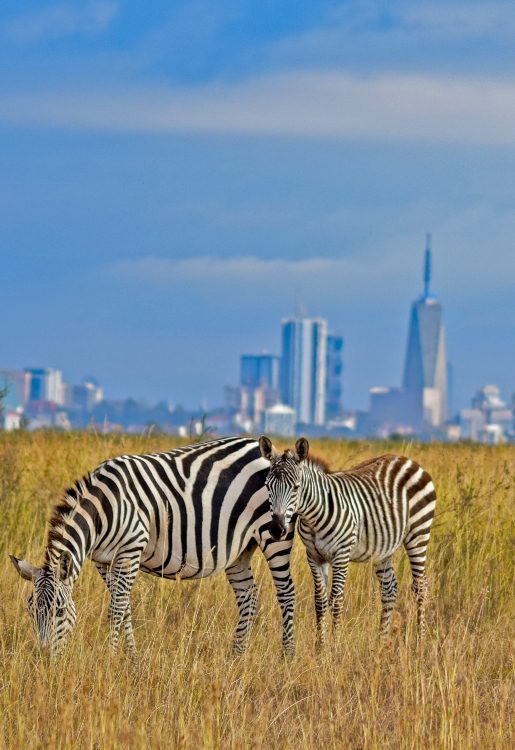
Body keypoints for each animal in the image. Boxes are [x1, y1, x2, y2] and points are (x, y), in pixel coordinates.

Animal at [10, 436, 296, 657]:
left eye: (59, 611)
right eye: (30, 611)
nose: (45, 659)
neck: (103, 509)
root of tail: (260, 448)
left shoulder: (131, 550)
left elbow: (116, 609)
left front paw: (110, 659)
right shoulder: (103, 560)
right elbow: (125, 608)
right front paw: (131, 657)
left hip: (274, 534)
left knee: (286, 592)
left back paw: (287, 655)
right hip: (239, 549)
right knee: (249, 596)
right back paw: (236, 656)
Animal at [259, 436, 436, 646]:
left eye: (296, 487)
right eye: (267, 486)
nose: (277, 530)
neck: (313, 517)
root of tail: (406, 459)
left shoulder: (341, 555)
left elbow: (336, 601)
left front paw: (334, 647)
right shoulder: (314, 556)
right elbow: (320, 601)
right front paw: (320, 647)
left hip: (418, 533)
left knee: (421, 587)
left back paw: (420, 641)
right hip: (383, 547)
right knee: (389, 590)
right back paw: (381, 642)